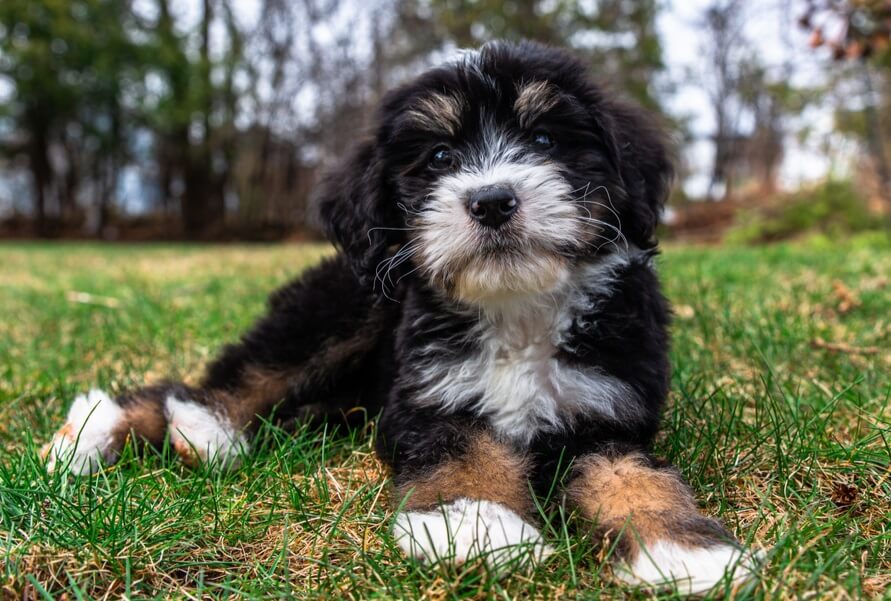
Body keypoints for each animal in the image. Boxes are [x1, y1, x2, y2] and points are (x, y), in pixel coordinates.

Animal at [43, 41, 760, 592]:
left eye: (545, 139)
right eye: (439, 157)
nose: (491, 200)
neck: (516, 308)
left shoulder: (608, 410)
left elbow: (635, 476)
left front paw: (684, 550)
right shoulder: (428, 397)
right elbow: (462, 449)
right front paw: (474, 526)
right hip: (343, 305)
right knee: (225, 378)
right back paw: (136, 428)